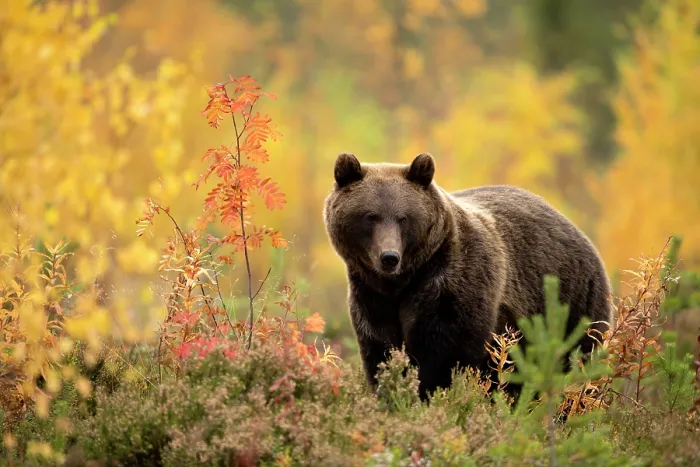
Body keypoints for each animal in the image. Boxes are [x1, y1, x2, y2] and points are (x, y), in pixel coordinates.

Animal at [322, 152, 612, 401]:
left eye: (403, 218)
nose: (389, 257)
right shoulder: (371, 296)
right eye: (370, 216)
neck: (402, 281)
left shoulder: (452, 285)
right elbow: (380, 350)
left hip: (572, 303)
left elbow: (443, 355)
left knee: (578, 362)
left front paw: (428, 392)